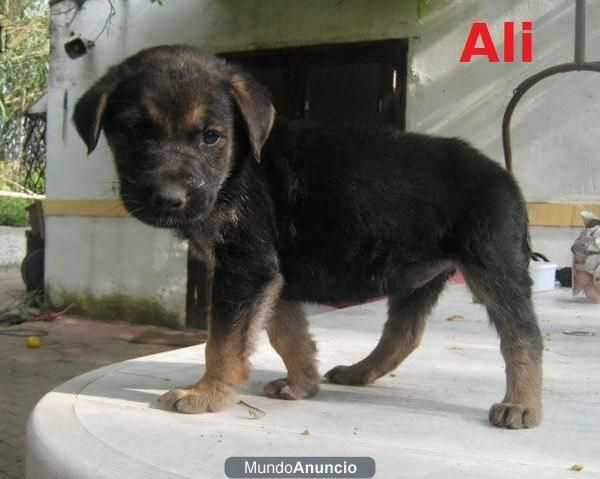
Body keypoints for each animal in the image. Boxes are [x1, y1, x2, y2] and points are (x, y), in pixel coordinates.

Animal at [74, 45, 544, 430]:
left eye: (211, 137)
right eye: (135, 131)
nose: (169, 200)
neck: (240, 164)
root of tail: (505, 175)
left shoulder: (245, 268)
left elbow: (222, 340)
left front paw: (206, 394)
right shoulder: (272, 276)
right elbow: (287, 333)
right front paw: (303, 384)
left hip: (494, 266)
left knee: (523, 335)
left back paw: (522, 404)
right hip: (420, 277)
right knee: (404, 333)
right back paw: (358, 371)